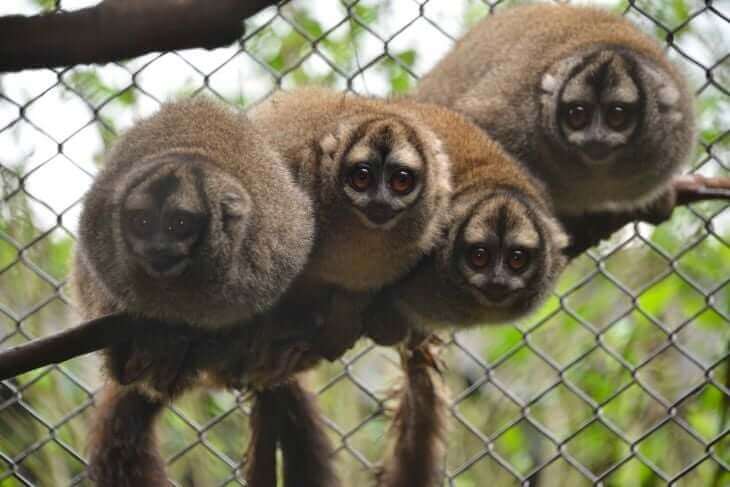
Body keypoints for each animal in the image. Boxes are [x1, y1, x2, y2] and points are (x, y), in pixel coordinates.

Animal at [72, 99, 314, 487]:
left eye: (179, 224)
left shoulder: (275, 247)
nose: (157, 247)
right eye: (141, 222)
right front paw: (149, 339)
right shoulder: (100, 237)